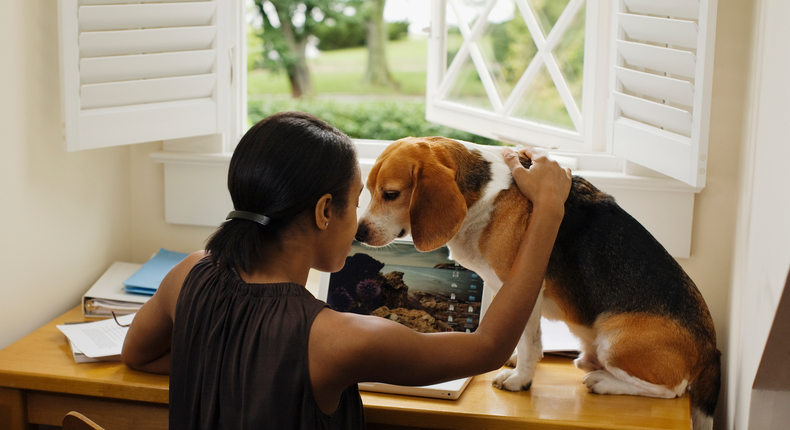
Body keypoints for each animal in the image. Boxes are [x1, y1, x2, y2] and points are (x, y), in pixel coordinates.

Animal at [358, 136, 724, 428]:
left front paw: (521, 379)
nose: (359, 233)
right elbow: (524, 339)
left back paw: (604, 382)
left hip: (615, 338)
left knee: (673, 390)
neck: (484, 195)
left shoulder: (524, 287)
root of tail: (711, 348)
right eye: (368, 191)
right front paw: (518, 363)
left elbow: (529, 340)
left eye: (391, 194)